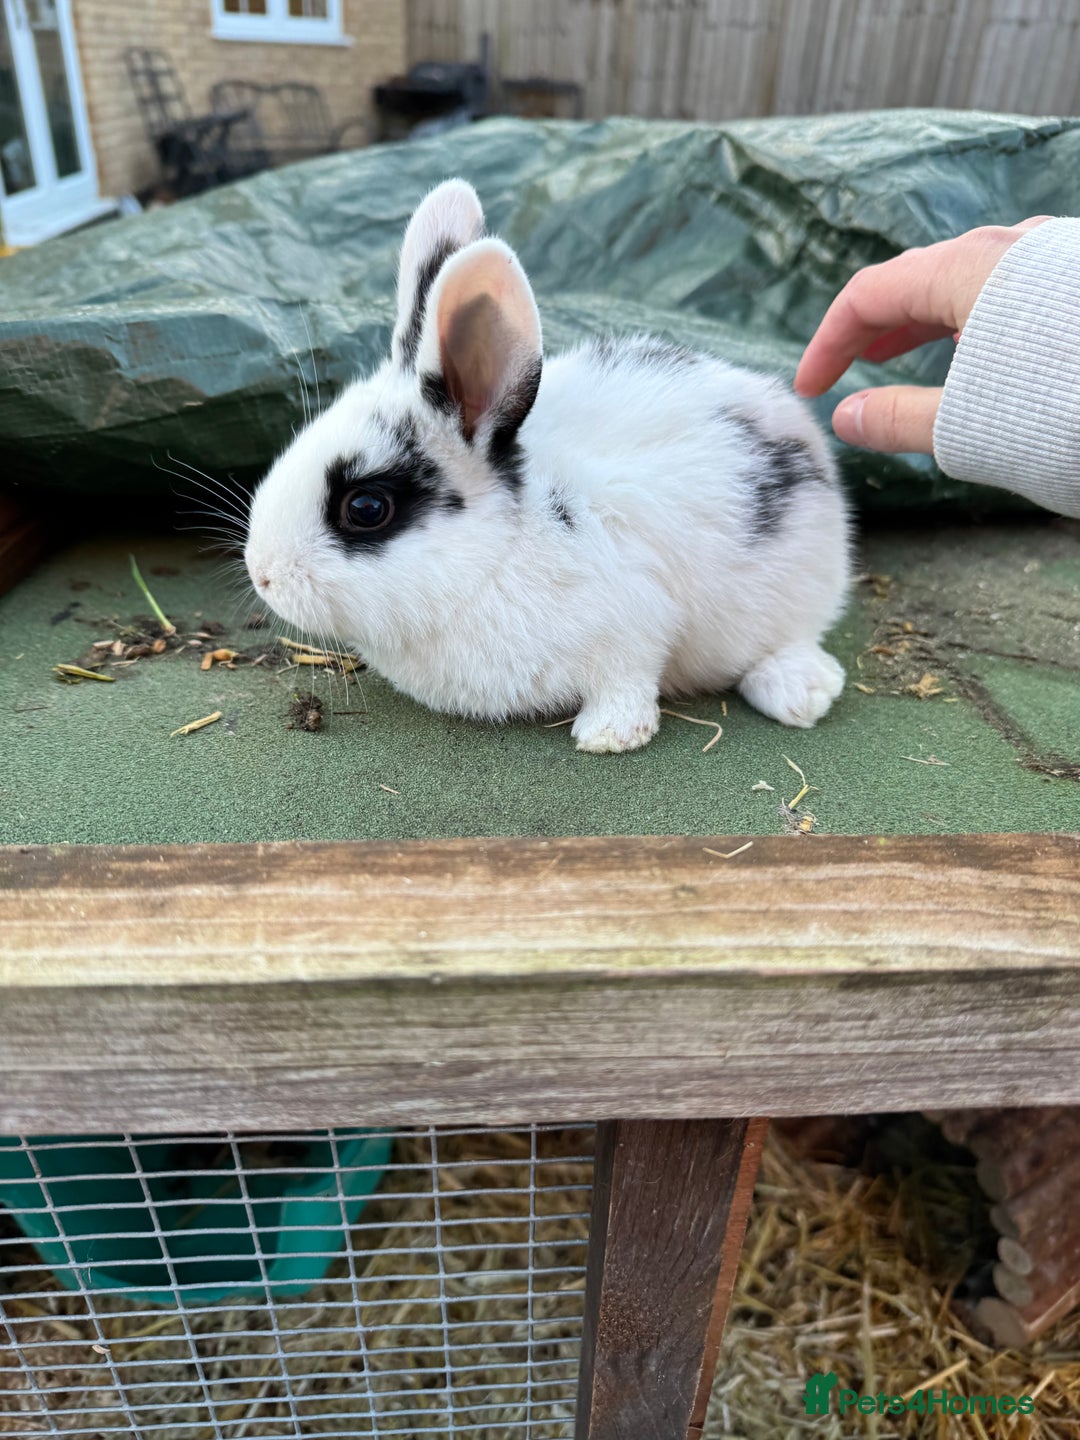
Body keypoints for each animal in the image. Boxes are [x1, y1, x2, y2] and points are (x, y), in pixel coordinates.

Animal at [245, 179, 851, 753]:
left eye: (366, 507)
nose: (263, 574)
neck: (497, 553)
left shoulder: (635, 624)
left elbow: (628, 681)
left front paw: (609, 736)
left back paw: (800, 694)